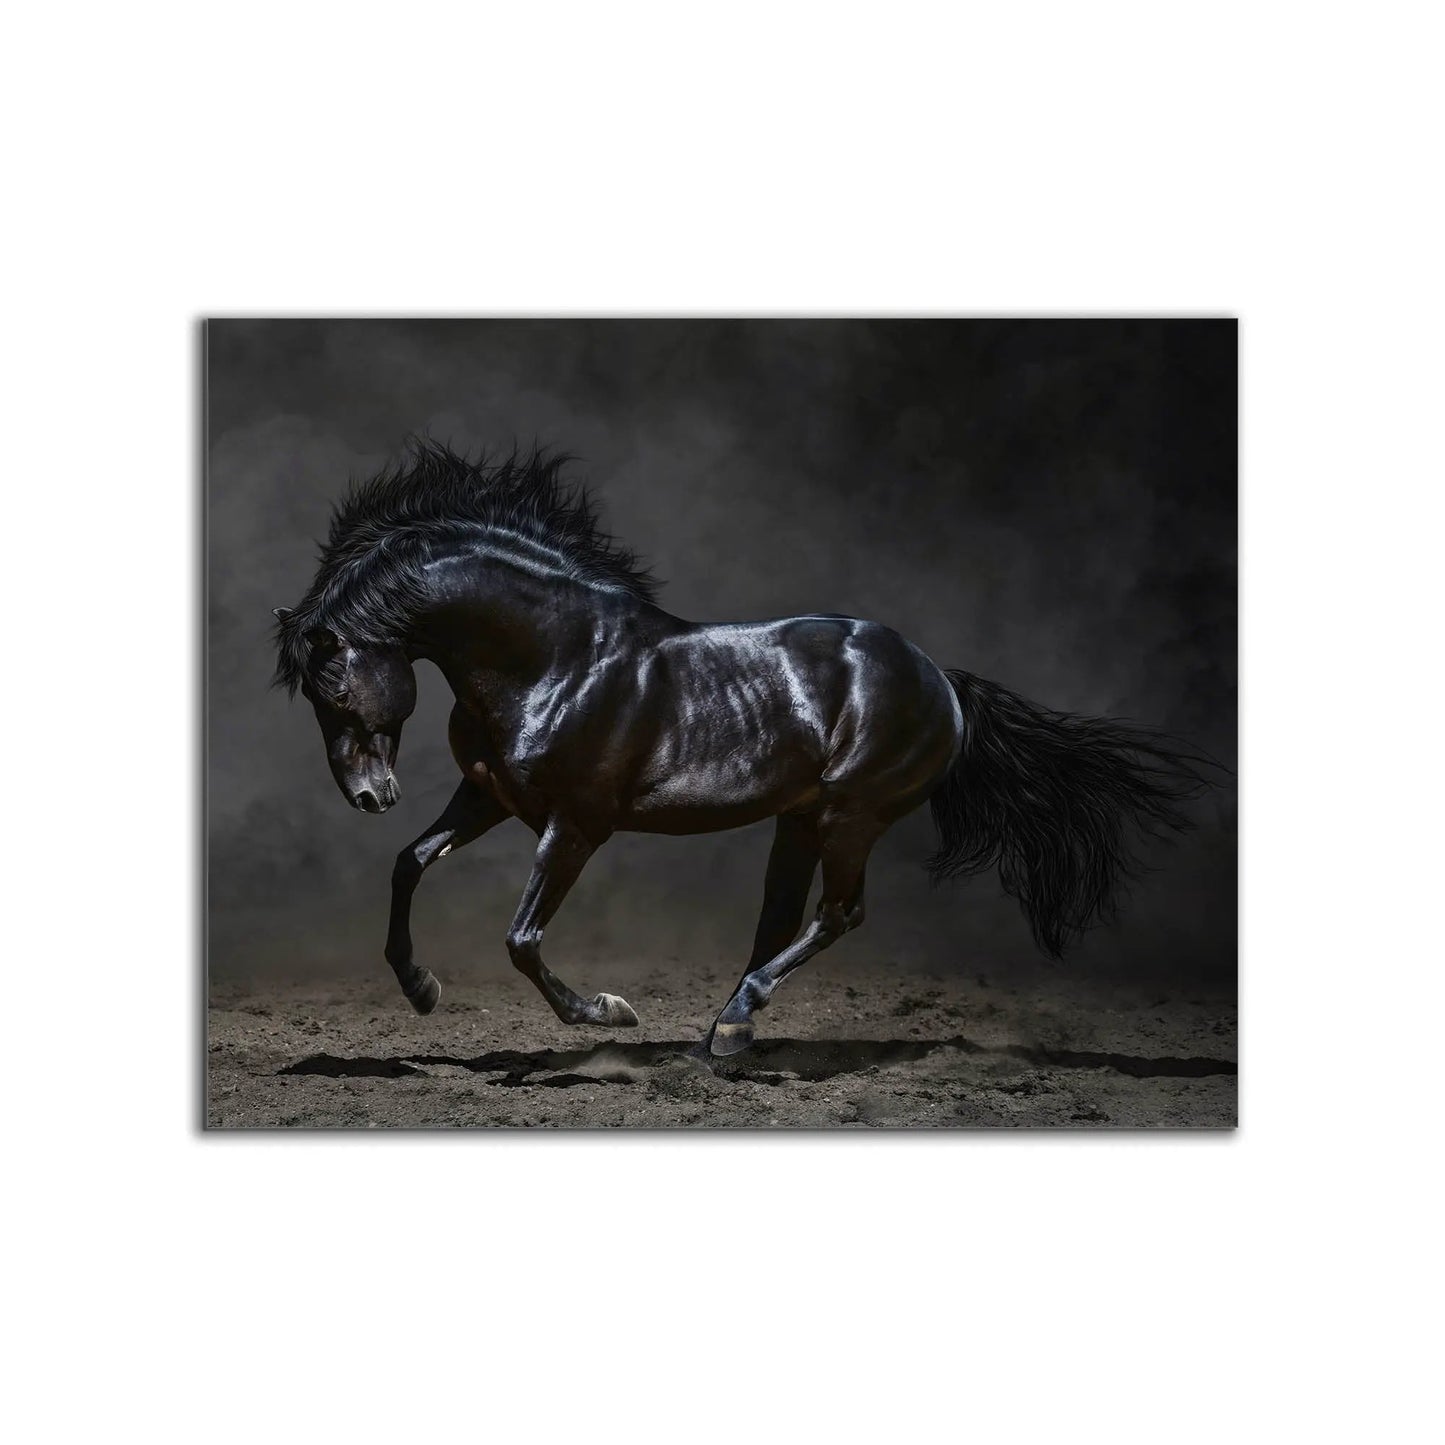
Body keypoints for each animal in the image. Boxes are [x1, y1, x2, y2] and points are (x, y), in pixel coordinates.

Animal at [272, 441, 1213, 1055]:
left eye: (334, 687)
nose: (368, 795)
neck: (555, 656)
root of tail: (940, 678)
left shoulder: (575, 824)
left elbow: (522, 938)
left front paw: (608, 1012)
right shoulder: (491, 796)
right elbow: (409, 862)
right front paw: (420, 988)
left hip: (851, 814)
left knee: (838, 913)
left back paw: (731, 1023)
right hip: (799, 818)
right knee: (781, 918)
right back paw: (725, 1030)